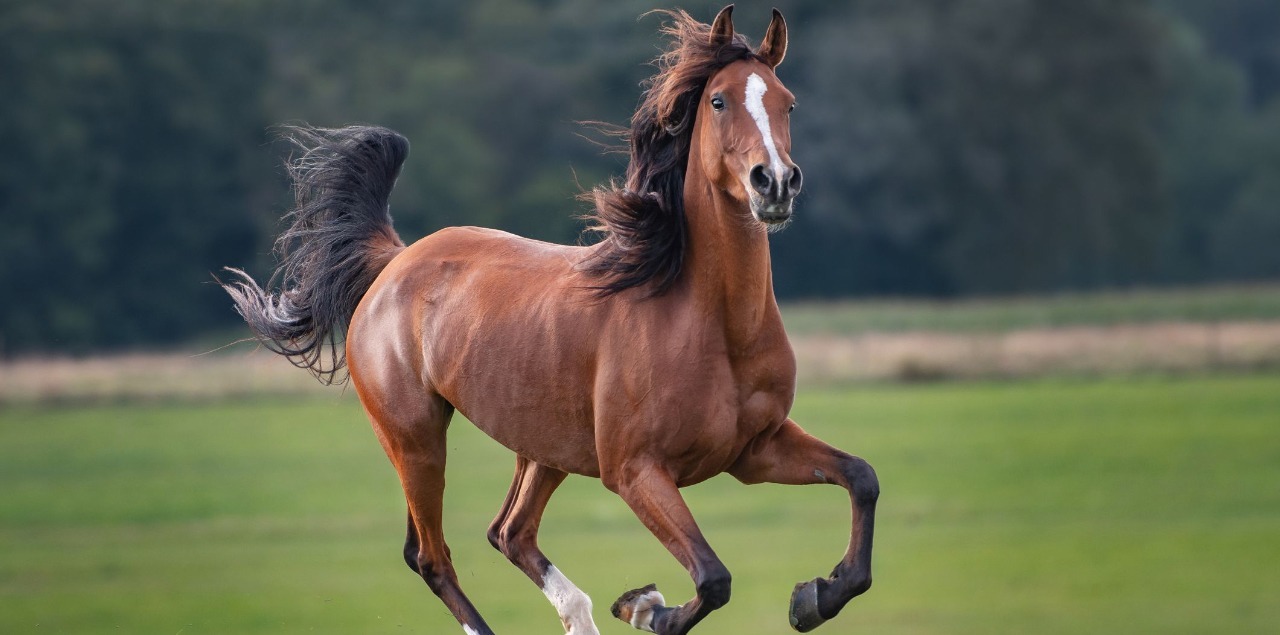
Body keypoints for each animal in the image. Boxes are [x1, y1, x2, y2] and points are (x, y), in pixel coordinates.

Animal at [222, 6, 880, 635]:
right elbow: (713, 578)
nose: (775, 183)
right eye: (718, 100)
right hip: (415, 440)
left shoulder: (754, 450)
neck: (712, 323)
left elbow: (861, 477)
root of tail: (394, 263)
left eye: (787, 101)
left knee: (509, 532)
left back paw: (582, 616)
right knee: (432, 556)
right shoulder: (635, 471)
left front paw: (815, 597)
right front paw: (648, 610)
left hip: (543, 448)